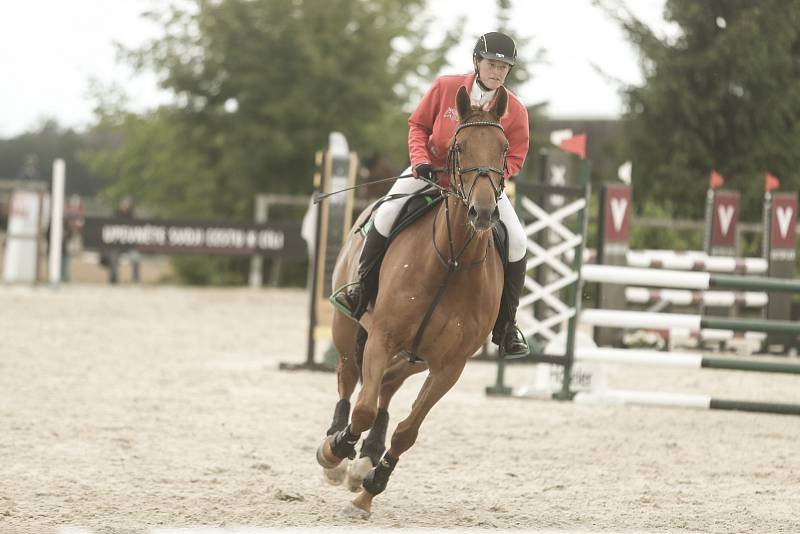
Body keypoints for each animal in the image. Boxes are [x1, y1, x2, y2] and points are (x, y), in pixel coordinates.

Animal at [318, 87, 510, 520]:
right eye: (458, 147)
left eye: (505, 148)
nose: (483, 212)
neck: (452, 262)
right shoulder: (382, 338)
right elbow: (363, 408)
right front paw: (338, 449)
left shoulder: (448, 367)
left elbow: (407, 431)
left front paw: (370, 489)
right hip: (347, 329)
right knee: (348, 377)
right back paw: (336, 449)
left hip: (414, 357)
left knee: (387, 385)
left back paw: (365, 460)